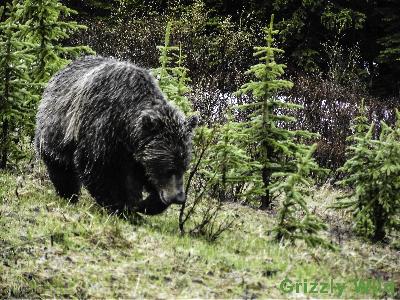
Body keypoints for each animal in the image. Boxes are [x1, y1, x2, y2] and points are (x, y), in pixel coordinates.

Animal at [35, 56, 198, 214]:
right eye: (169, 168)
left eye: (184, 166)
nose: (179, 197)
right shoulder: (100, 128)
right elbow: (98, 169)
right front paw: (121, 207)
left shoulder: (136, 154)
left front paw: (145, 205)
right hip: (56, 131)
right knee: (61, 168)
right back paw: (68, 195)